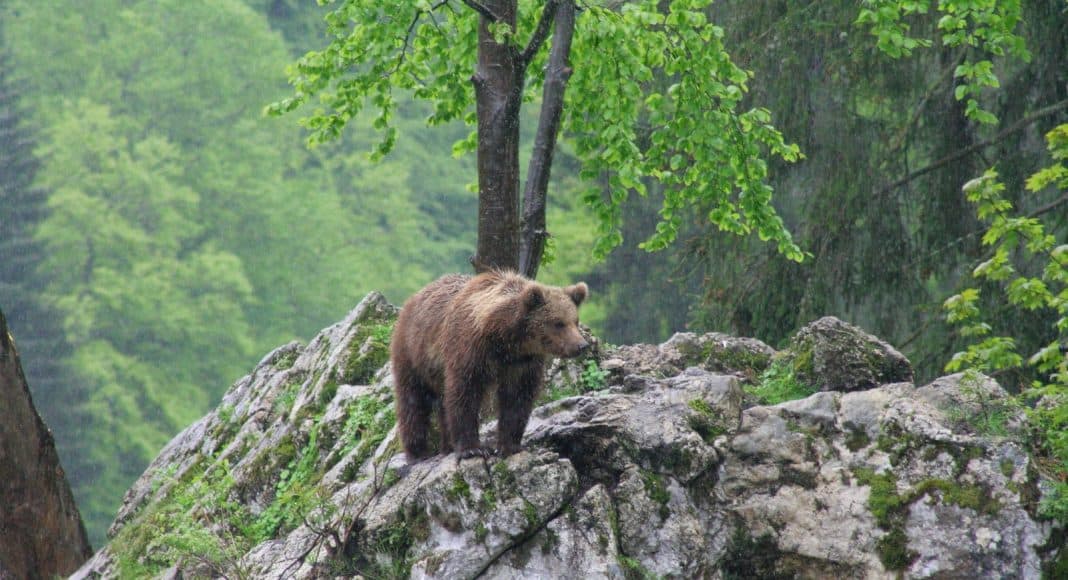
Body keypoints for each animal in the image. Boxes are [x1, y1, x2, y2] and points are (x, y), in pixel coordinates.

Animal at [390, 270, 589, 460]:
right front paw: (472, 449)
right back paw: (418, 452)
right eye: (558, 323)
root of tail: (414, 297)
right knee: (413, 401)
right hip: (413, 354)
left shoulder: (522, 363)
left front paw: (509, 446)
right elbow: (464, 394)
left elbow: (517, 398)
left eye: (575, 321)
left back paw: (447, 446)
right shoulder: (469, 350)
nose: (581, 345)